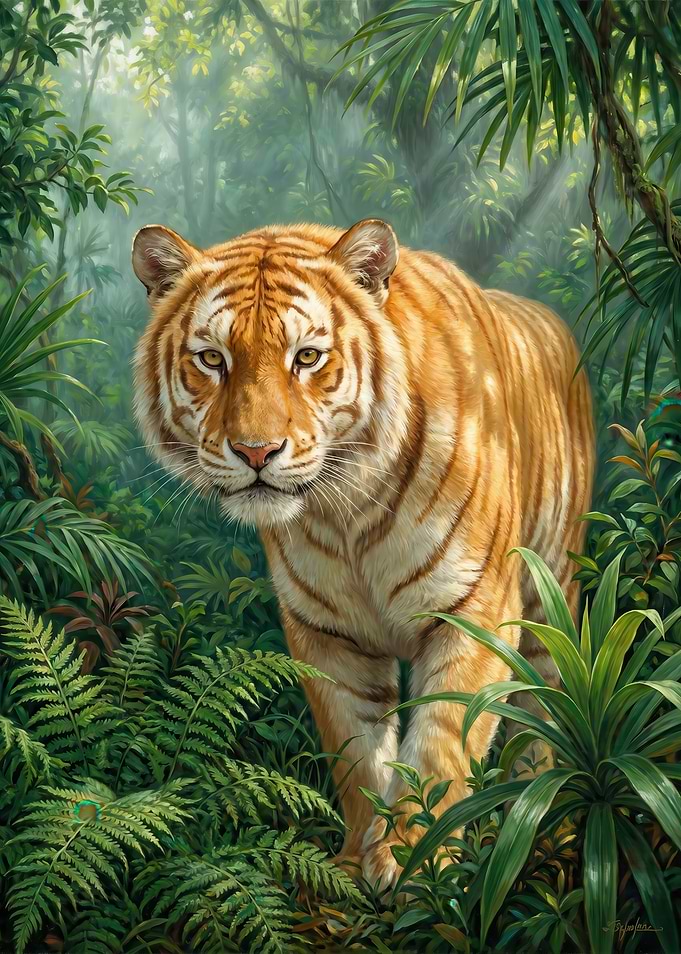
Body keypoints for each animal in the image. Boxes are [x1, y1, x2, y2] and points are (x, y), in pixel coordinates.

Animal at [132, 218, 595, 886]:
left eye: (306, 357)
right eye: (213, 358)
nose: (255, 451)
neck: (345, 507)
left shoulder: (475, 610)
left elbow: (441, 745)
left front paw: (418, 864)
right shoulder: (326, 632)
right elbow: (355, 752)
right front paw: (356, 863)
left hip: (552, 590)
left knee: (546, 700)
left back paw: (541, 822)